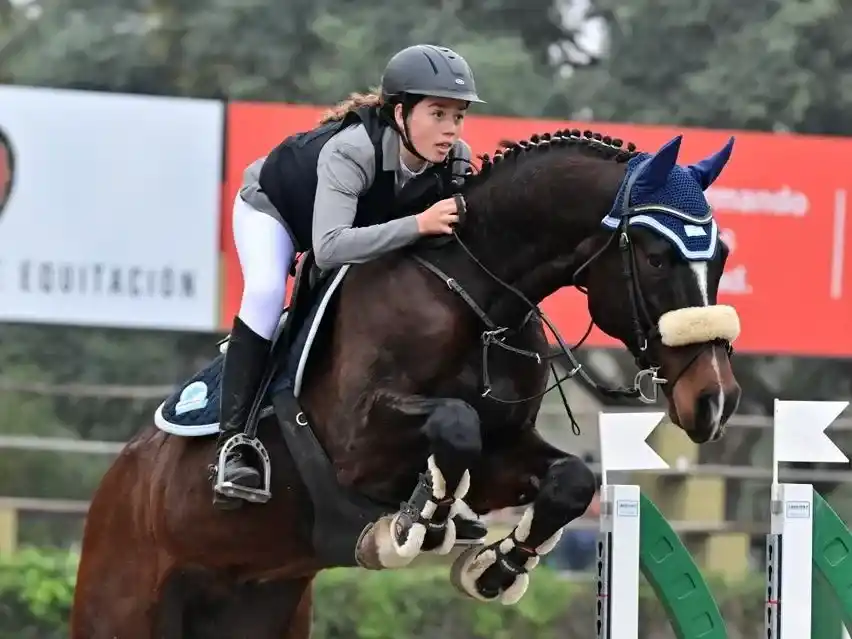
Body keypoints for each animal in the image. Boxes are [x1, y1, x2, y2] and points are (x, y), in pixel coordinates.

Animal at [70, 128, 742, 638]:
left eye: (723, 257)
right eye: (656, 257)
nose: (715, 400)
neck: (477, 297)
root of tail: (115, 482)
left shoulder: (504, 453)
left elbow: (569, 479)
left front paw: (493, 565)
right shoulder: (356, 444)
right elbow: (454, 423)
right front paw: (416, 526)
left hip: (259, 605)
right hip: (123, 606)